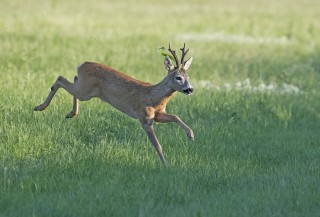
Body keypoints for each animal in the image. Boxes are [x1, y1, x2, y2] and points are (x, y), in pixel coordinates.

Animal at [35, 43, 195, 164]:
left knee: (71, 79)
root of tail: (81, 65)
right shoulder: (144, 117)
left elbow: (175, 116)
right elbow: (157, 145)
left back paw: (71, 113)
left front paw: (191, 135)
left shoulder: (158, 115)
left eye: (188, 77)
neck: (154, 97)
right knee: (60, 79)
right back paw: (40, 107)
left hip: (84, 89)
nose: (190, 89)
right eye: (178, 77)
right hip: (85, 91)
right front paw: (165, 164)